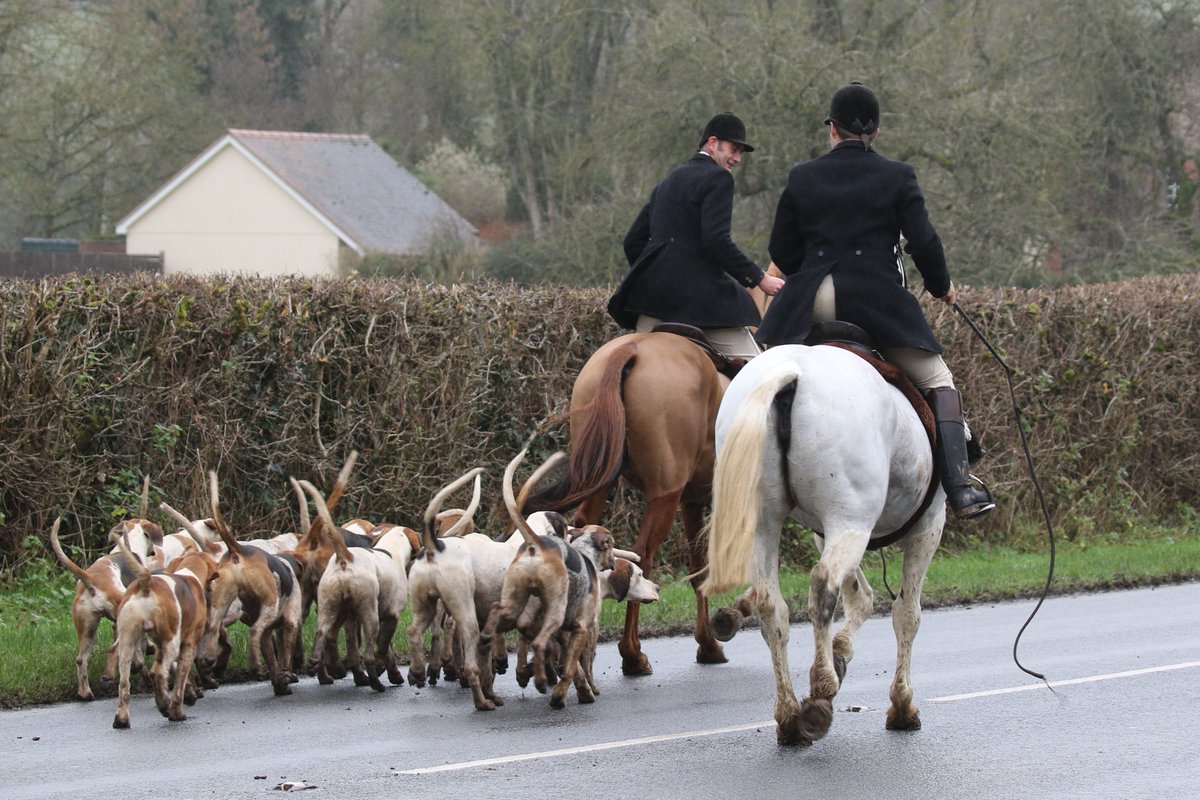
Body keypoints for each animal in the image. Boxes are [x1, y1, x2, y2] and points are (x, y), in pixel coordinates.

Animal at [528, 331, 729, 676]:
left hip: (602, 475)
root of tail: (634, 346)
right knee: (642, 555)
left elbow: (699, 570)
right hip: (665, 494)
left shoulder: (693, 501)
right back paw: (632, 654)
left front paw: (708, 644)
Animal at [700, 345, 945, 753]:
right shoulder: (928, 526)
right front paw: (902, 705)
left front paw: (841, 652)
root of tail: (791, 373)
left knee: (773, 608)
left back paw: (788, 717)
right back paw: (820, 692)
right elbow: (906, 615)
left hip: (767, 523)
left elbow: (861, 597)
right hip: (851, 519)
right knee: (822, 584)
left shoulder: (822, 530)